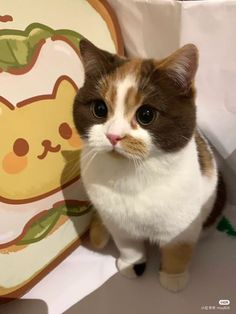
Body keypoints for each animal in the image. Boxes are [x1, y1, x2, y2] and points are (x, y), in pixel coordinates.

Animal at [73, 39, 226, 292]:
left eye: (146, 114)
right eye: (100, 109)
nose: (113, 136)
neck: (132, 176)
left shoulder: (182, 226)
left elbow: (179, 250)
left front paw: (173, 277)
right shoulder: (117, 223)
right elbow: (128, 246)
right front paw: (131, 264)